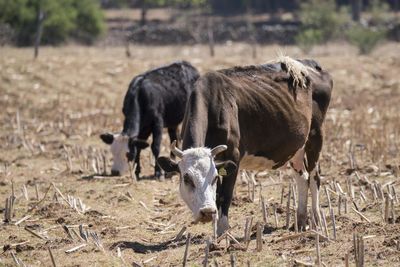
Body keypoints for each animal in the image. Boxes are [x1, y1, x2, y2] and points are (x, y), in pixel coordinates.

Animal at [158, 56, 332, 234]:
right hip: (296, 147)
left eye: (214, 177)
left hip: (315, 136)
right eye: (187, 178)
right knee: (302, 178)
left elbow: (224, 196)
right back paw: (300, 221)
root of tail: (308, 64)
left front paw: (222, 234)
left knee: (314, 178)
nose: (207, 212)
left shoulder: (233, 156)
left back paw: (317, 221)